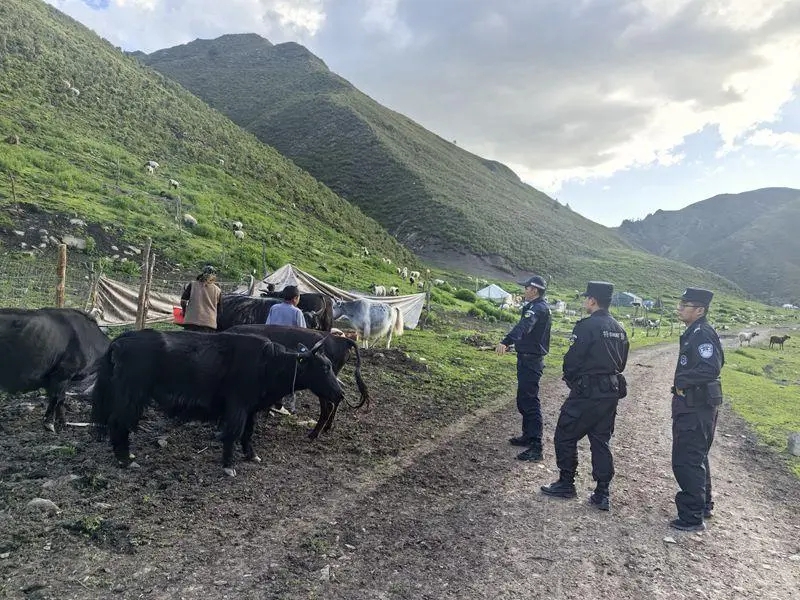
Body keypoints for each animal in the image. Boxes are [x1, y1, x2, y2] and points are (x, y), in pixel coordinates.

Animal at [90, 330, 343, 476]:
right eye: (324, 367)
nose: (340, 393)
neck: (269, 363)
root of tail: (121, 340)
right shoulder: (237, 407)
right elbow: (233, 432)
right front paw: (229, 465)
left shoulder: (250, 409)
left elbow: (248, 432)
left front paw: (251, 455)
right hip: (132, 395)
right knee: (118, 423)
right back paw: (125, 459)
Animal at [228, 325, 370, 438]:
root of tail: (341, 340)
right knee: (338, 398)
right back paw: (326, 428)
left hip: (322, 386)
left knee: (329, 405)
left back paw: (313, 434)